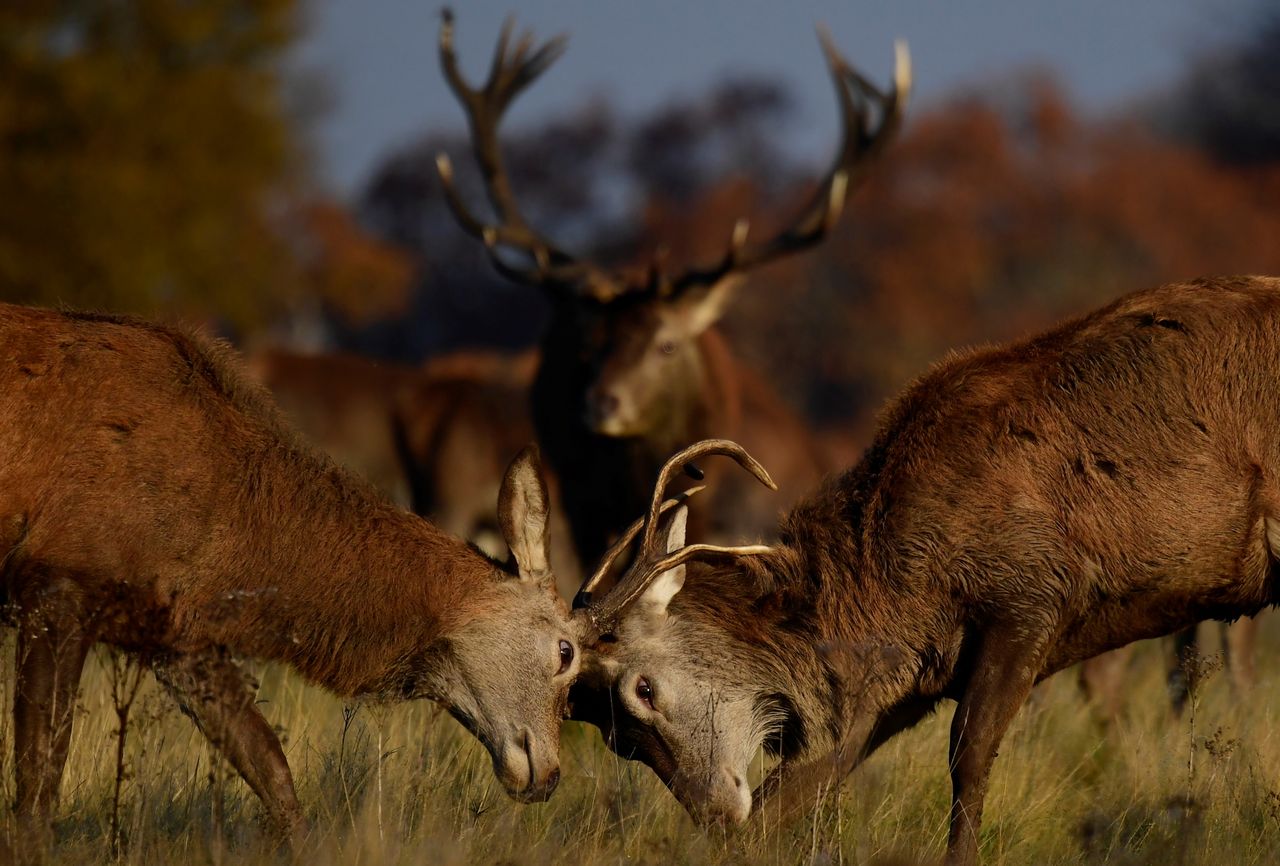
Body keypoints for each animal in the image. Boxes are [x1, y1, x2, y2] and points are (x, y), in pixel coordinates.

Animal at [0, 304, 581, 844]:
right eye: (566, 652)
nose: (552, 776)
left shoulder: (173, 633)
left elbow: (270, 765)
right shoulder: (56, 582)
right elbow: (38, 781)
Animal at [573, 275, 1280, 864]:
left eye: (642, 690)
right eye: (613, 740)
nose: (716, 818)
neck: (900, 594)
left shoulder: (1031, 594)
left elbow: (969, 755)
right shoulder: (908, 680)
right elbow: (799, 792)